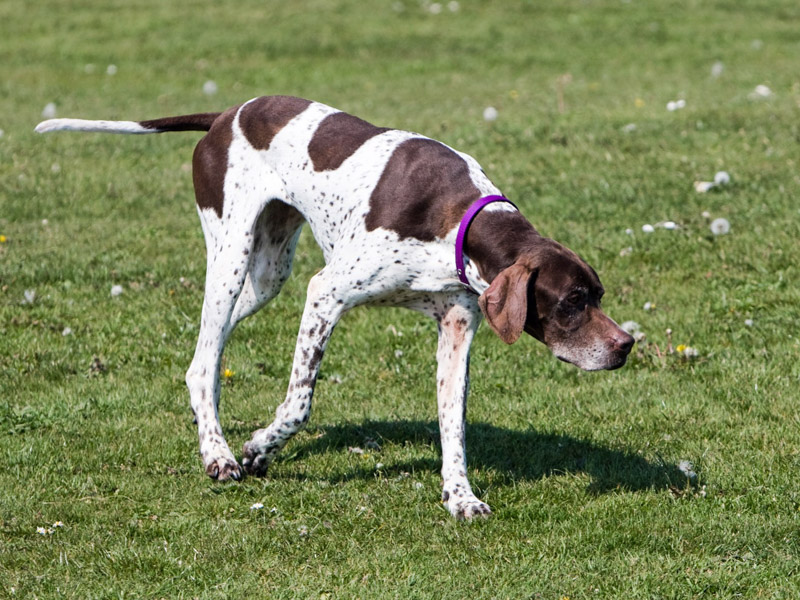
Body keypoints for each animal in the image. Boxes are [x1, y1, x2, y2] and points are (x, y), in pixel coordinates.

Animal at [37, 96, 636, 516]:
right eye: (572, 301)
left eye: (598, 296)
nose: (626, 345)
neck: (460, 220)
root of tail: (226, 114)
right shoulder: (326, 293)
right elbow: (299, 404)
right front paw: (258, 448)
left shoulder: (457, 328)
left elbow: (453, 425)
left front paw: (460, 497)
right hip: (231, 257)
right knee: (205, 361)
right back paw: (219, 455)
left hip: (267, 276)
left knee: (203, 355)